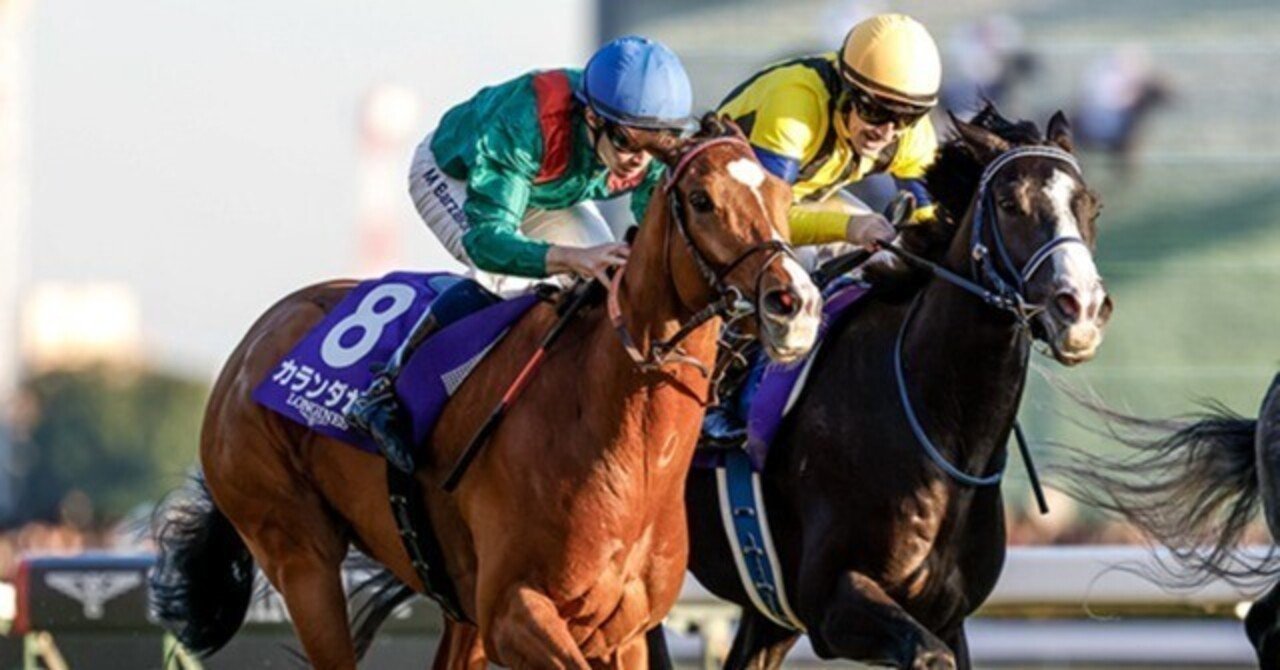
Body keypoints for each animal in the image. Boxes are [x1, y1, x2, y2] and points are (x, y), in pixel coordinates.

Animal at [148, 115, 824, 670]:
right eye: (702, 200)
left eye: (781, 196)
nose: (795, 304)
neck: (623, 446)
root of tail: (253, 344)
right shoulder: (514, 611)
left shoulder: (624, 633)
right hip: (298, 554)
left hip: (453, 599)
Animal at [647, 106, 1114, 670]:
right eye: (1009, 204)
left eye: (1091, 205)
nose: (1081, 309)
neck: (940, 431)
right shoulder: (832, 600)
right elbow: (929, 655)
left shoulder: (947, 615)